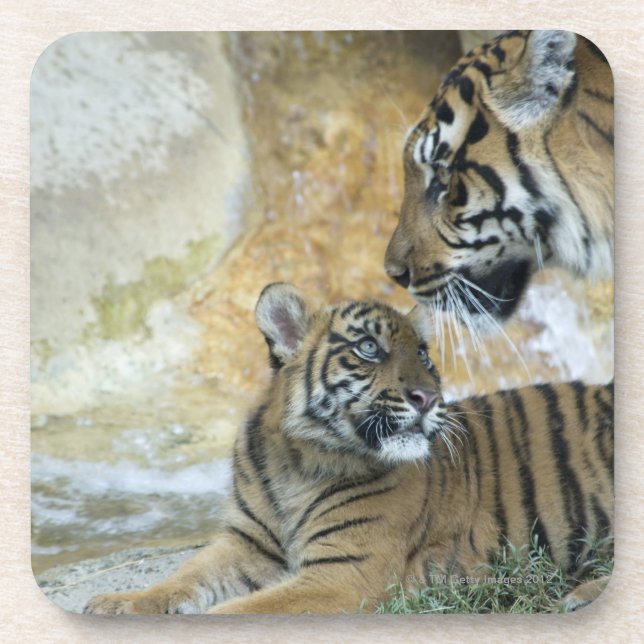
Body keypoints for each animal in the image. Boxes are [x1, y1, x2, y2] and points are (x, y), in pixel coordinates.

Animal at [85, 283, 613, 614]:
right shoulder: (246, 543)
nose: (428, 398)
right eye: (368, 348)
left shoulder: (342, 575)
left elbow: (234, 612)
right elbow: (184, 576)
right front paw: (117, 604)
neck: (298, 462)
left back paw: (581, 596)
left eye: (423, 355)